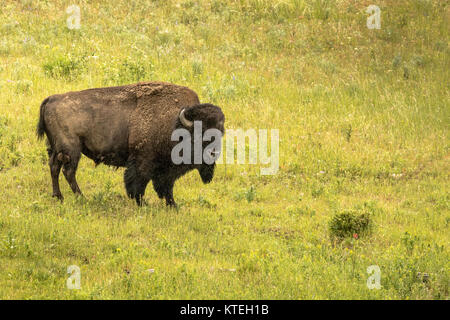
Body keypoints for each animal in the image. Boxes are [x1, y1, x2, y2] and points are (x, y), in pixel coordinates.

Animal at [37, 82, 225, 206]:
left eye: (220, 134)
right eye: (200, 136)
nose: (213, 154)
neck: (175, 124)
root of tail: (52, 99)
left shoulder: (164, 170)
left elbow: (165, 187)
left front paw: (172, 205)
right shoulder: (144, 162)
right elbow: (139, 183)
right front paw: (143, 203)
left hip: (55, 149)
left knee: (54, 168)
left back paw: (59, 197)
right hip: (71, 150)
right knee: (68, 172)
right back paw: (81, 197)